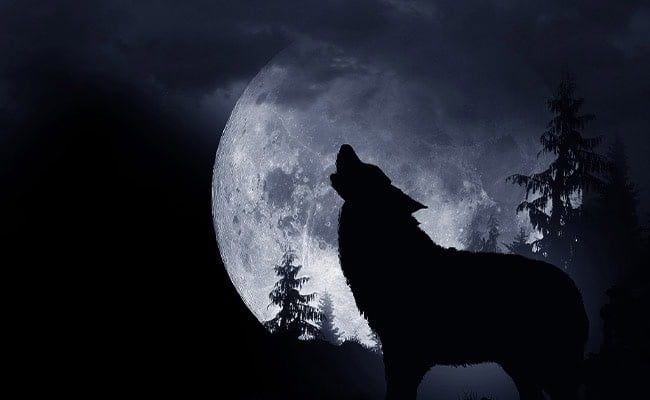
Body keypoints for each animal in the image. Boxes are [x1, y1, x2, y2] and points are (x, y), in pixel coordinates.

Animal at [330, 144, 589, 400]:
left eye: (368, 170)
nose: (345, 146)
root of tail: (573, 286)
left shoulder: (403, 353)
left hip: (548, 368)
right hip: (518, 366)